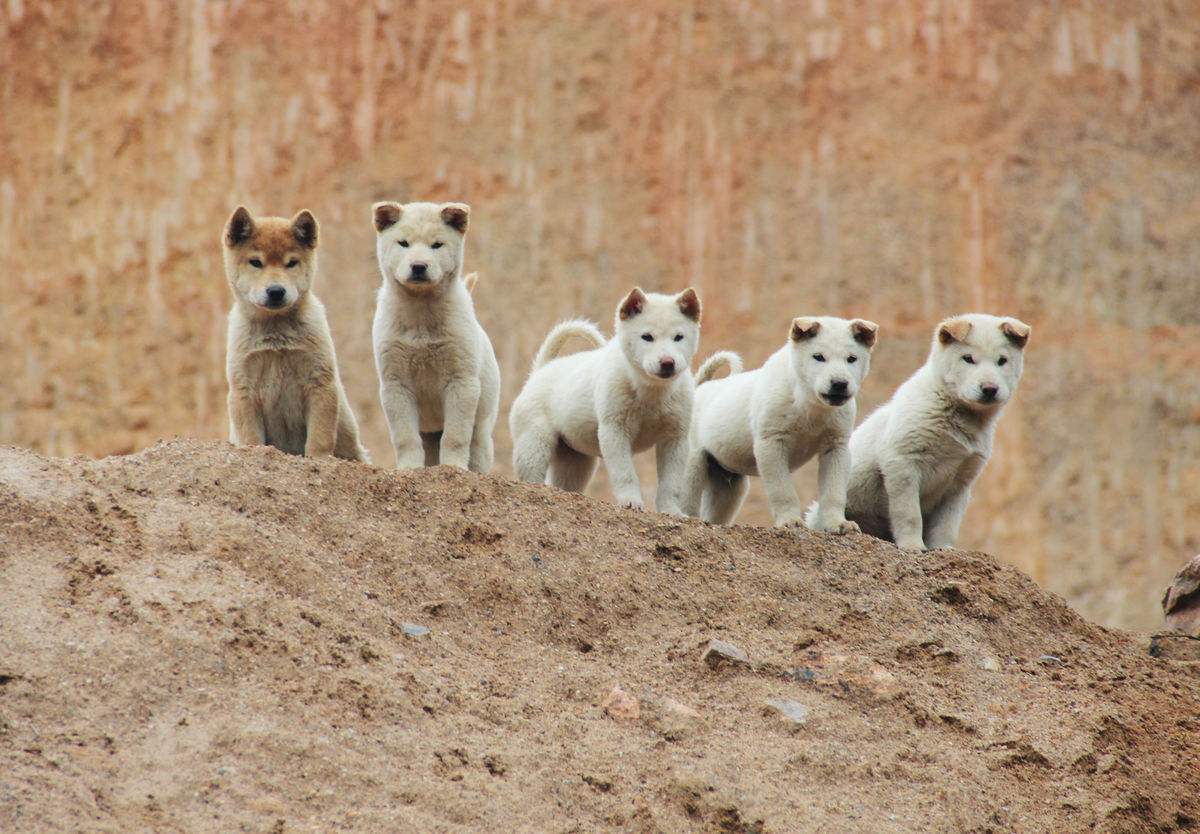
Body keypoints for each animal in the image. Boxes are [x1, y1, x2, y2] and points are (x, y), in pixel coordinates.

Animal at [223, 205, 367, 460]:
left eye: (291, 263)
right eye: (255, 262)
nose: (276, 291)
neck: (276, 333)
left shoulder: (320, 382)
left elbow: (320, 439)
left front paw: (318, 460)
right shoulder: (243, 389)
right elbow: (251, 439)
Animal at [367, 201, 494, 472]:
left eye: (437, 244)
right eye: (403, 243)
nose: (418, 266)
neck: (421, 317)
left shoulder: (462, 382)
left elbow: (456, 436)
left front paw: (454, 468)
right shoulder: (395, 383)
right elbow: (405, 437)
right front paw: (409, 469)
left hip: (482, 424)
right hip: (430, 433)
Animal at [508, 289, 700, 516]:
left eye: (678, 337)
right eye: (647, 337)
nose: (667, 363)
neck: (652, 392)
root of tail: (541, 370)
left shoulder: (675, 438)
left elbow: (671, 483)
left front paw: (671, 511)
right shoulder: (614, 430)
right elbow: (625, 472)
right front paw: (631, 502)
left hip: (575, 460)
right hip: (534, 443)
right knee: (532, 473)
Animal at [686, 316, 883, 532]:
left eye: (852, 358)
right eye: (818, 357)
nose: (839, 384)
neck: (809, 403)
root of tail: (699, 389)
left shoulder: (836, 447)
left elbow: (834, 492)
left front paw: (837, 524)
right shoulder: (771, 443)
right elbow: (782, 490)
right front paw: (790, 522)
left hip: (728, 485)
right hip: (692, 465)